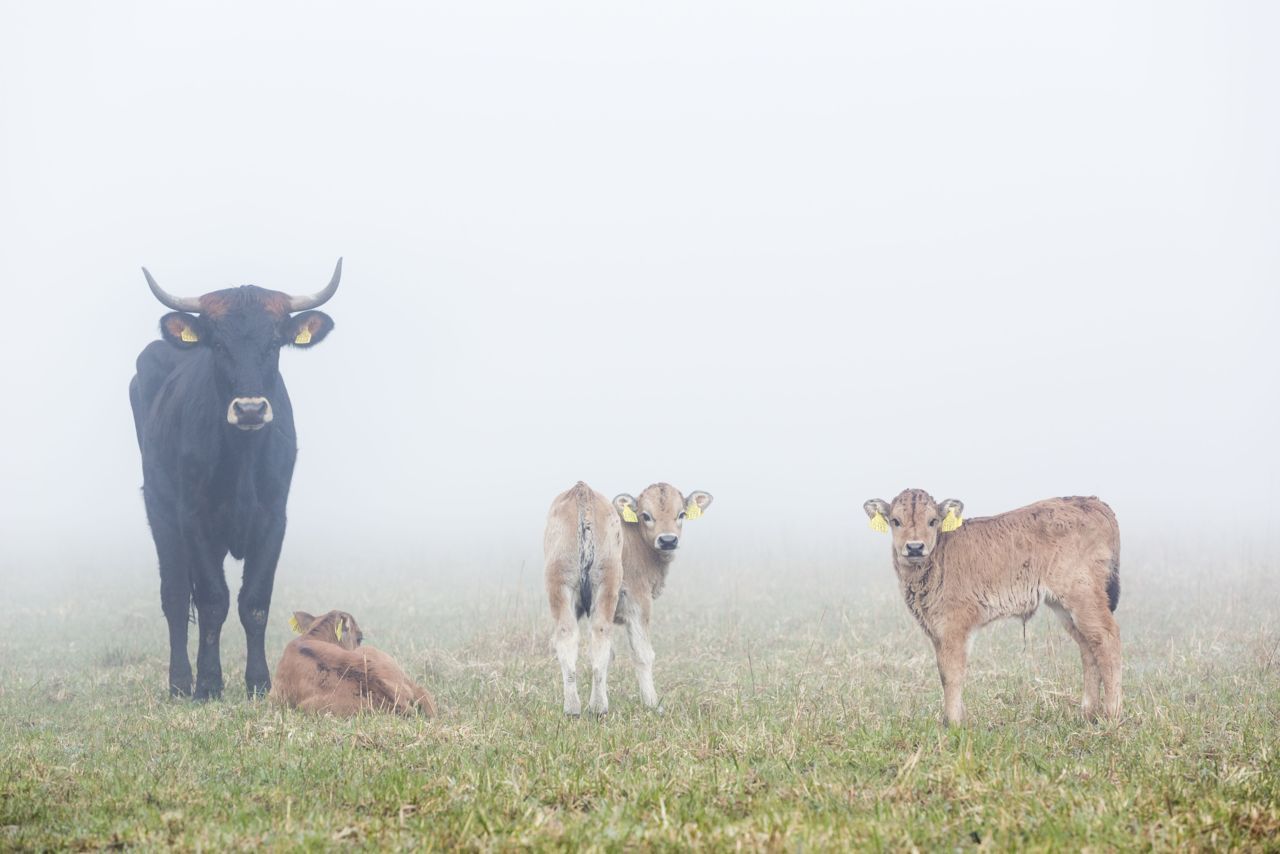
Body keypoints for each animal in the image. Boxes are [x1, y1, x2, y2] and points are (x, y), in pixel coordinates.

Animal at [131, 262, 340, 701]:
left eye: (274, 342)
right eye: (218, 344)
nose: (249, 409)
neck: (242, 457)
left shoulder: (274, 519)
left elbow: (254, 602)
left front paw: (259, 682)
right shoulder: (193, 519)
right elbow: (213, 600)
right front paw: (209, 683)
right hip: (160, 511)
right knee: (175, 597)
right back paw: (180, 683)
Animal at [545, 481, 716, 717]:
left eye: (681, 513)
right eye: (646, 515)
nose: (668, 540)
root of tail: (583, 491)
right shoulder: (638, 601)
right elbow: (642, 653)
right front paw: (653, 703)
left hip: (560, 584)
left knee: (566, 636)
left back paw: (572, 708)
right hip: (606, 584)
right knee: (600, 636)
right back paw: (599, 707)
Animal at [860, 491, 1121, 727]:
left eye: (932, 520)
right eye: (896, 520)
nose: (914, 547)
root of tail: (1093, 501)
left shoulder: (953, 625)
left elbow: (951, 673)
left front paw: (952, 723)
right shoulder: (937, 629)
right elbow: (945, 669)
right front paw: (959, 718)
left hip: (1084, 595)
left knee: (1107, 640)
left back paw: (1112, 715)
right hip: (1064, 607)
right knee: (1088, 647)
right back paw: (1087, 714)